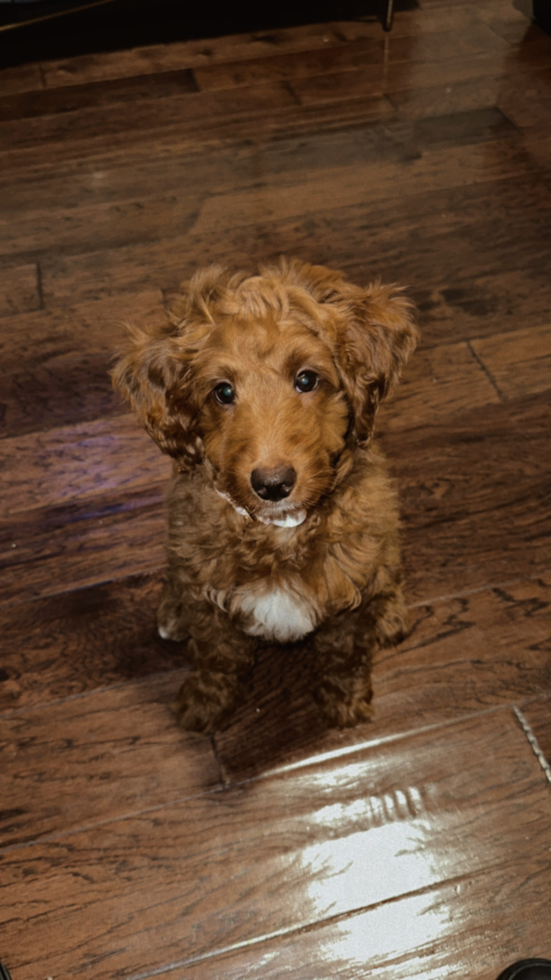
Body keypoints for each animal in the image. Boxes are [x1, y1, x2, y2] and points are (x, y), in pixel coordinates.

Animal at [114, 260, 420, 736]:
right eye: (222, 392)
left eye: (307, 379)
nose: (273, 484)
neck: (280, 531)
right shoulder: (211, 600)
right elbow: (217, 658)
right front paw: (206, 704)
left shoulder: (347, 594)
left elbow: (343, 655)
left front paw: (345, 703)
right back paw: (172, 612)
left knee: (389, 571)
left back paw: (390, 615)